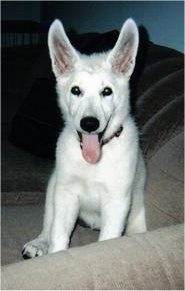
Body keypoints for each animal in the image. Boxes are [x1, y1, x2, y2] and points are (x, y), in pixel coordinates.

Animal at [22, 18, 146, 260]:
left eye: (107, 91)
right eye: (76, 90)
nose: (89, 124)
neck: (94, 161)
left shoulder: (117, 202)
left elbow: (107, 240)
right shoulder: (66, 195)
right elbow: (58, 235)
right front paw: (54, 252)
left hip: (137, 207)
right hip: (54, 186)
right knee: (48, 224)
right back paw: (39, 242)